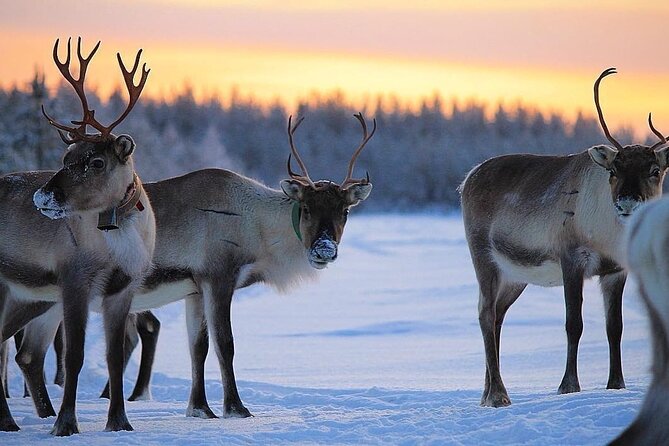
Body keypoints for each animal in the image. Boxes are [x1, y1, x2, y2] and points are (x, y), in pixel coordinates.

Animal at [0, 37, 155, 435]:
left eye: (96, 162)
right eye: (65, 157)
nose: (43, 196)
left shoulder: (123, 288)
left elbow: (115, 355)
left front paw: (119, 421)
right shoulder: (74, 280)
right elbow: (75, 355)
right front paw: (66, 423)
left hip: (31, 298)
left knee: (17, 350)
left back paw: (17, 418)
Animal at [0, 112, 375, 422]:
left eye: (344, 211)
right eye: (307, 209)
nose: (324, 249)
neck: (257, 232)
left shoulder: (194, 287)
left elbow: (198, 347)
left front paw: (200, 408)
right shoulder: (219, 275)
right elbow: (225, 344)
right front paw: (235, 408)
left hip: (45, 300)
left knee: (29, 355)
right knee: (27, 352)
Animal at [459, 67, 669, 407]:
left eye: (654, 170)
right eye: (613, 170)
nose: (626, 203)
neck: (607, 236)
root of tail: (467, 178)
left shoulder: (616, 269)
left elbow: (615, 327)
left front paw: (616, 384)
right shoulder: (573, 257)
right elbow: (574, 324)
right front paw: (568, 385)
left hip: (516, 275)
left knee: (496, 315)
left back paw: (486, 393)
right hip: (483, 256)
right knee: (485, 313)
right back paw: (499, 395)